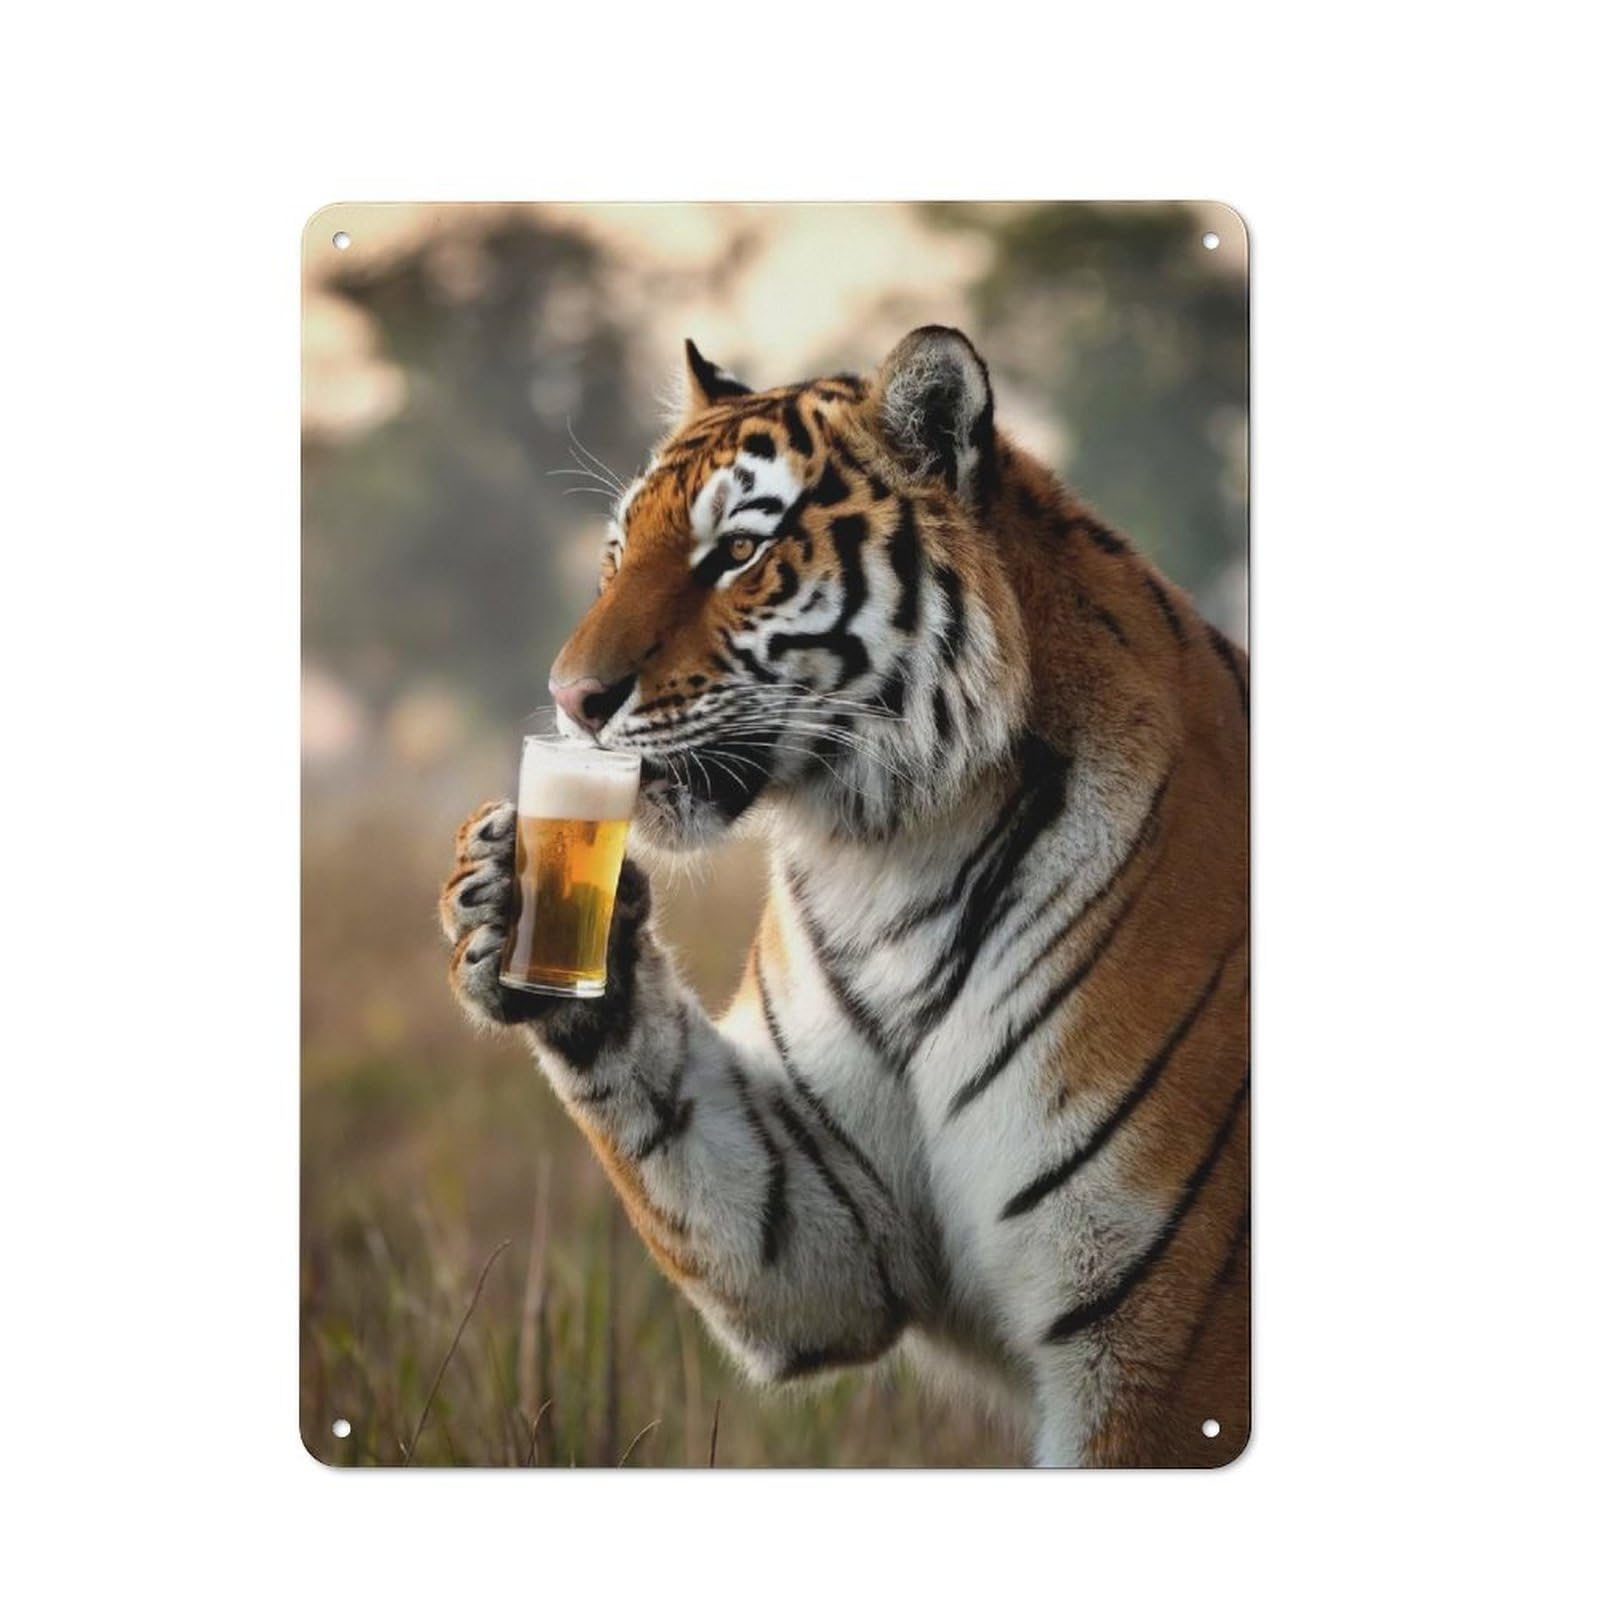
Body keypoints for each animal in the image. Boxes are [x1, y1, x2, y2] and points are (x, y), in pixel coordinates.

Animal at [440, 327, 1250, 1468]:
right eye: (615, 553)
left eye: (737, 553)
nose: (570, 701)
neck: (892, 860)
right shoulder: (829, 1233)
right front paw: (502, 904)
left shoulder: (1158, 1339)